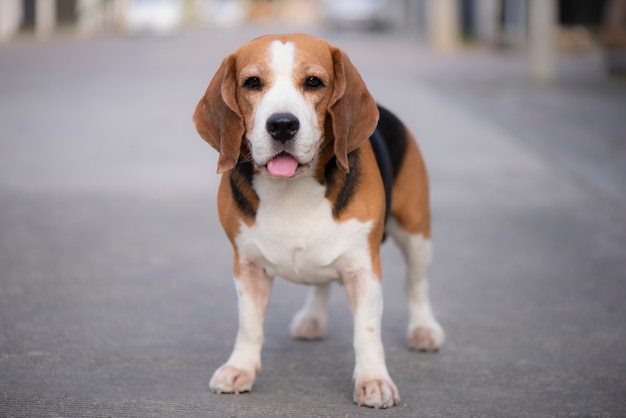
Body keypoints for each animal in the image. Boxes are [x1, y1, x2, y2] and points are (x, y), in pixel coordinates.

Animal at [193, 32, 442, 408]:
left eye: (313, 82)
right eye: (252, 83)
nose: (282, 125)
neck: (292, 188)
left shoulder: (363, 269)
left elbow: (367, 331)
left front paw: (374, 380)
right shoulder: (247, 267)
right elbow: (249, 324)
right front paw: (240, 369)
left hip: (416, 234)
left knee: (417, 285)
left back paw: (424, 329)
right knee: (320, 283)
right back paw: (312, 318)